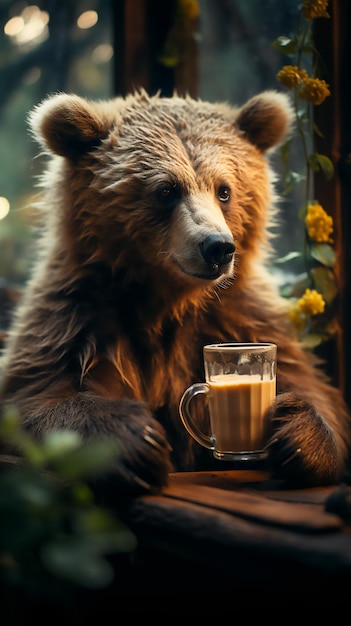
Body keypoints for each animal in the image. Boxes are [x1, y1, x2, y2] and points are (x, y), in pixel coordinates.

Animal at [0, 89, 351, 498]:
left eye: (224, 190)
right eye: (166, 190)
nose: (217, 247)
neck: (168, 298)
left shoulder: (240, 315)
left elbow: (314, 388)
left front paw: (298, 435)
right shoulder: (78, 317)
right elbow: (39, 393)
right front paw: (137, 441)